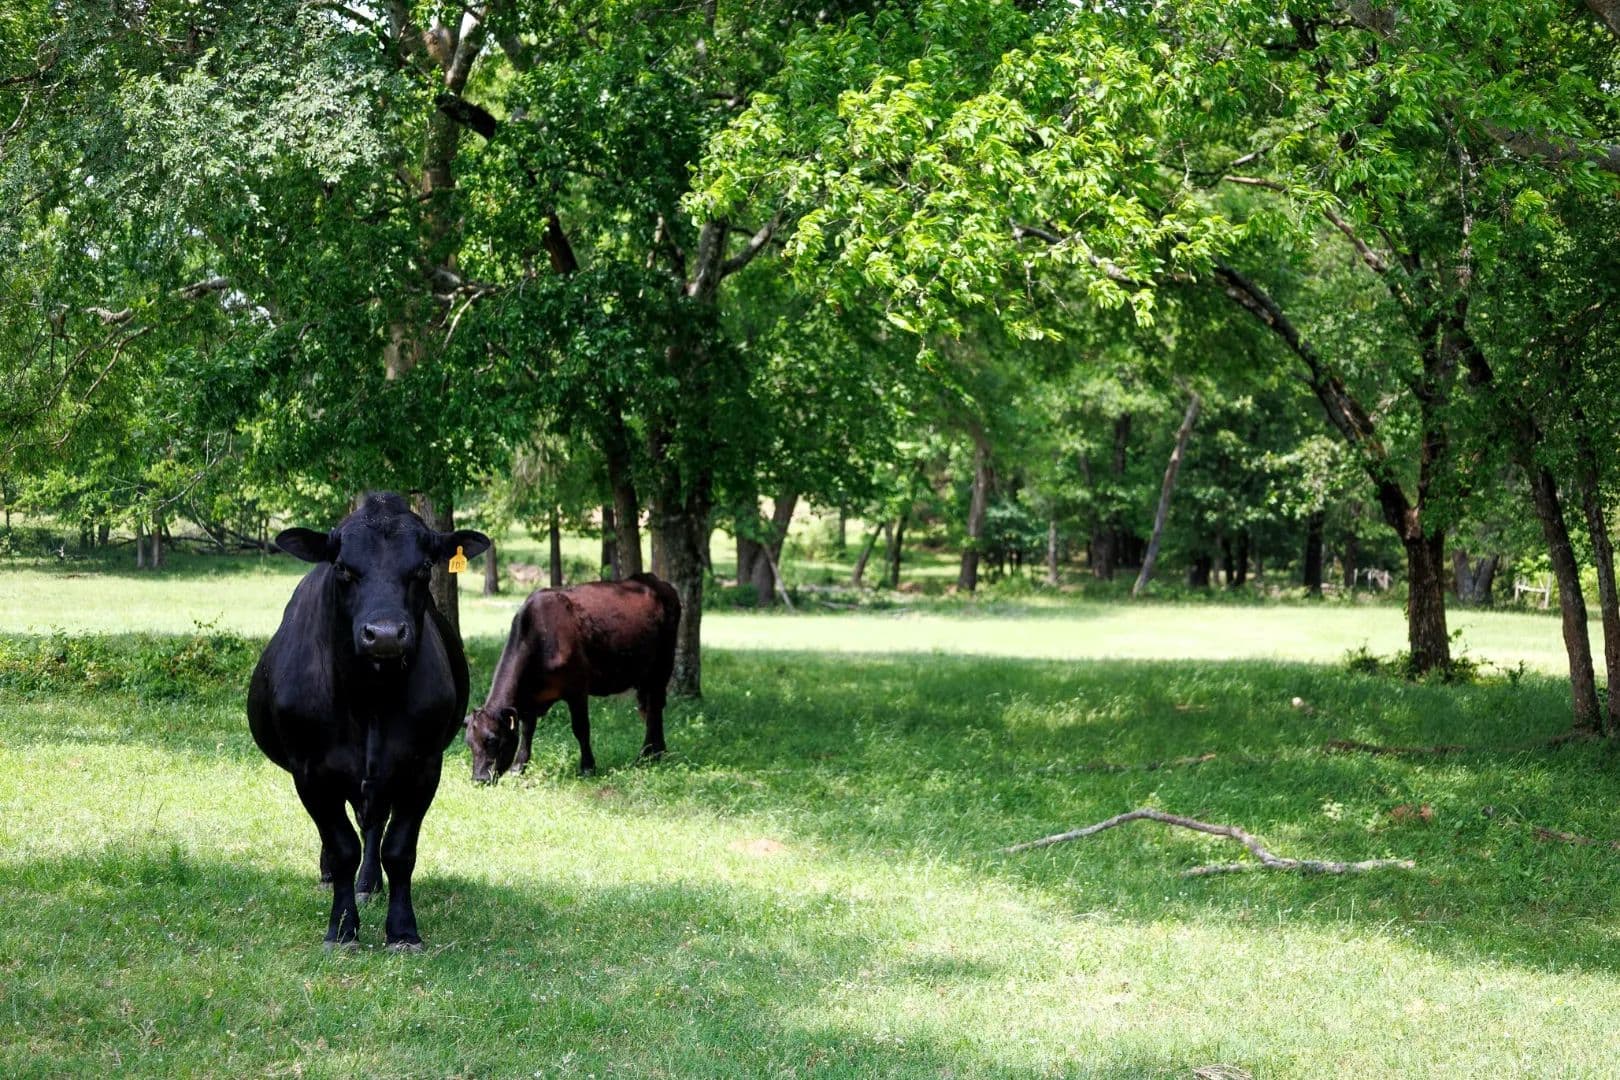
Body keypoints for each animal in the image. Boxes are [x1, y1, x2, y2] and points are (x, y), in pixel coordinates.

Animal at [247, 493, 490, 948]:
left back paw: (368, 882)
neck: (369, 699)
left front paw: (403, 930)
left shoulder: (423, 766)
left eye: (423, 567)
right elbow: (341, 846)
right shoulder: (310, 771)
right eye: (343, 567)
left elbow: (399, 848)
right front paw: (342, 928)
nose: (386, 634)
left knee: (373, 824)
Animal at [464, 573, 680, 783]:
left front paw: (587, 767)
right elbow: (527, 731)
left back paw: (647, 755)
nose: (479, 779)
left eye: (492, 739)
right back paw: (656, 752)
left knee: (654, 708)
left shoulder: (577, 689)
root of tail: (654, 581)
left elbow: (581, 728)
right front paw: (518, 768)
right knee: (650, 709)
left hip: (663, 666)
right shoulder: (530, 699)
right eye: (469, 743)